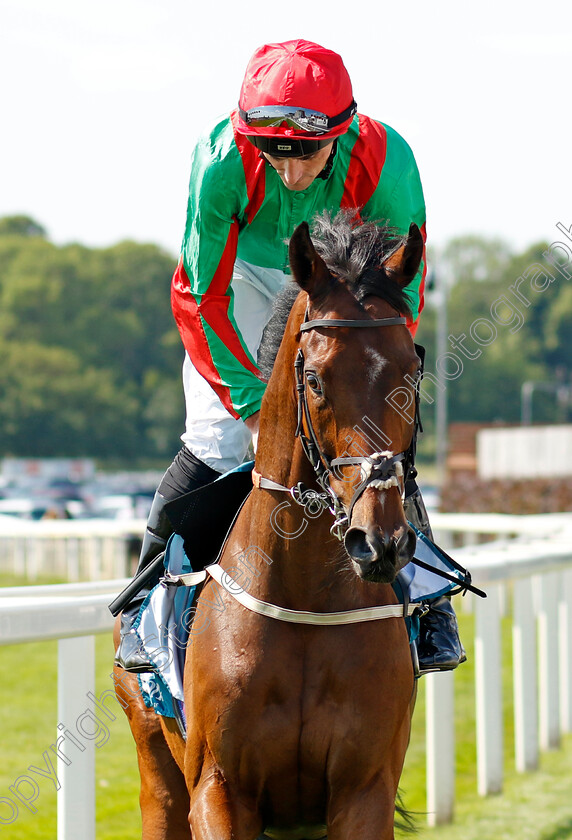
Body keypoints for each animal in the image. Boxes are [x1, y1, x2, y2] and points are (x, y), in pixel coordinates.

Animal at [113, 210, 424, 840]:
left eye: (411, 373)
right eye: (316, 380)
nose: (378, 539)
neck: (303, 598)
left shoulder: (364, 788)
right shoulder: (219, 789)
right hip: (156, 766)